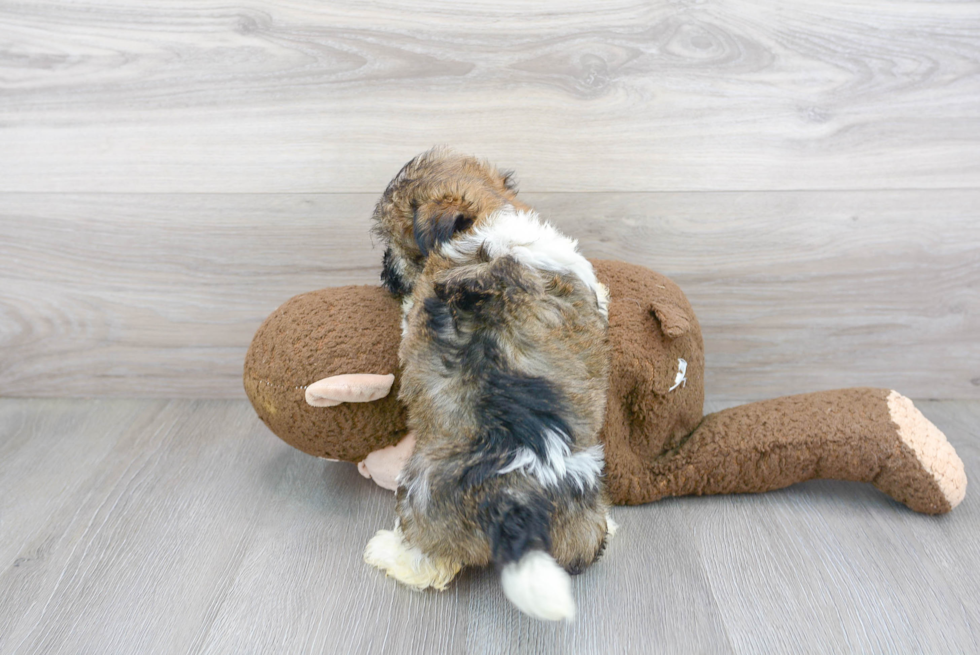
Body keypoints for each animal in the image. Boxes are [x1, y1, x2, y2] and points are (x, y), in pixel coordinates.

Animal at [366, 147, 612, 620]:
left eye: (392, 244)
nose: (383, 272)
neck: (489, 218)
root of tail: (517, 499)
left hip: (420, 493)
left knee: (429, 560)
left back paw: (388, 554)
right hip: (583, 482)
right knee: (583, 542)